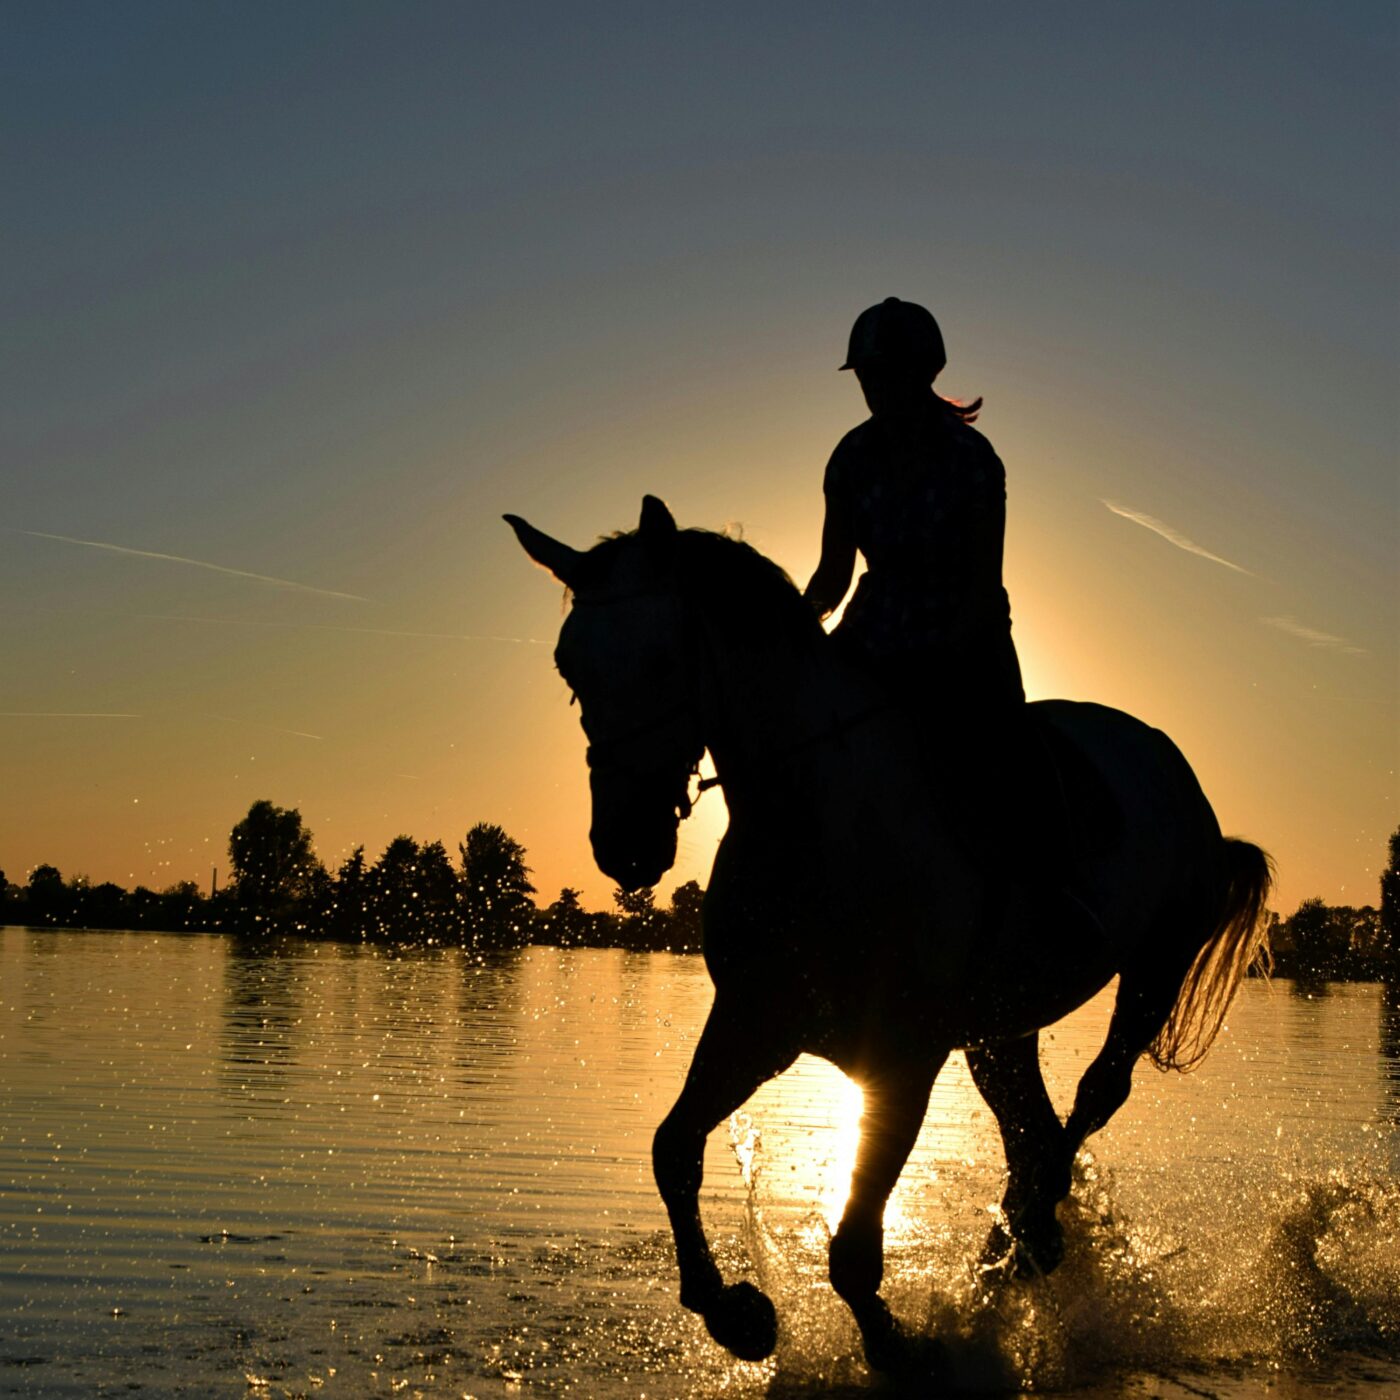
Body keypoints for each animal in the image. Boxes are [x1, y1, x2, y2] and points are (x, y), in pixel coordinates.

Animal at [506, 495, 1272, 1376]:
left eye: (666, 662)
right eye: (570, 668)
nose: (625, 847)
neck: (819, 817)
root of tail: (1166, 760)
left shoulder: (902, 1057)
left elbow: (853, 1247)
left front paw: (900, 1349)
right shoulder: (756, 1024)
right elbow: (673, 1149)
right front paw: (738, 1315)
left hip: (1153, 969)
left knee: (1092, 1099)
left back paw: (1022, 1243)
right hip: (1000, 1030)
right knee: (1031, 1131)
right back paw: (1019, 1248)